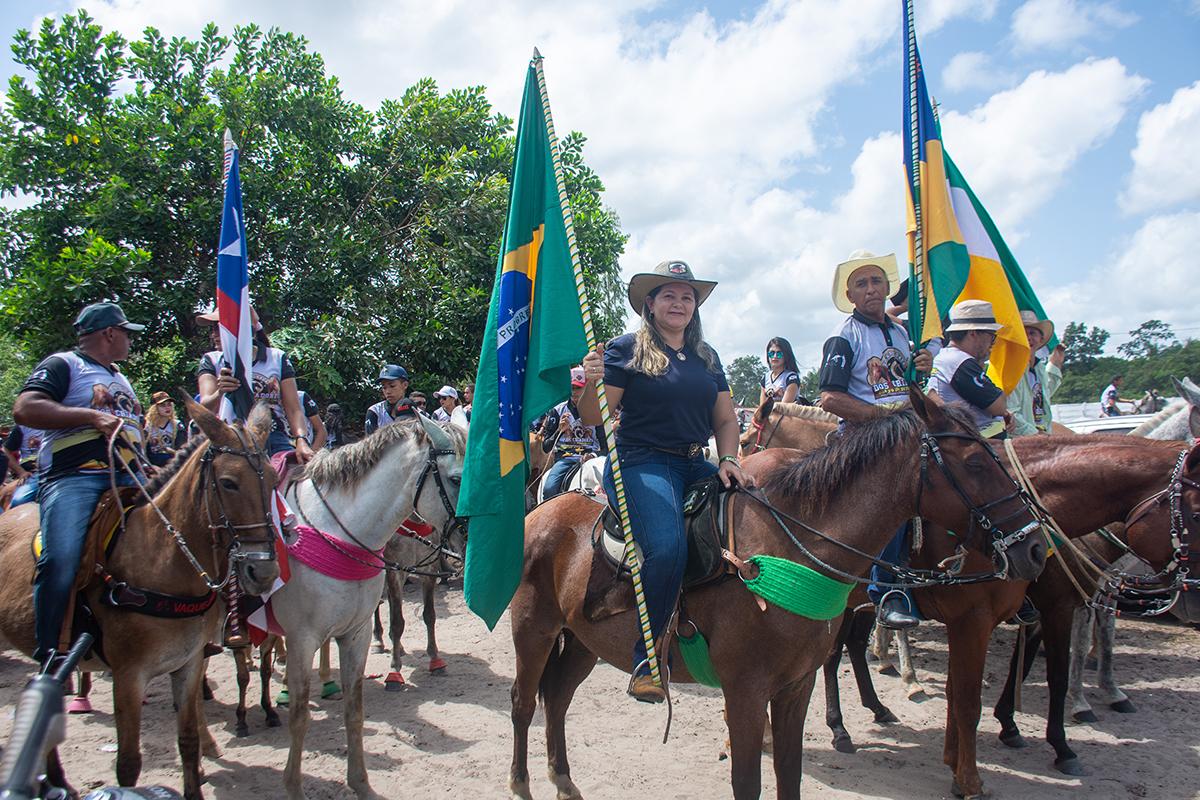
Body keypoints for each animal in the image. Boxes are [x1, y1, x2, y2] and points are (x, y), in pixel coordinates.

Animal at [0, 400, 278, 800]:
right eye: (228, 482)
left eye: (272, 480)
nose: (264, 571)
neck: (160, 561)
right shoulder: (128, 675)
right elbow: (129, 763)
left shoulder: (188, 661)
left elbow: (188, 739)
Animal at [271, 412, 463, 800]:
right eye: (456, 478)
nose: (469, 534)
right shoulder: (306, 634)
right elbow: (398, 621)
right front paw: (394, 671)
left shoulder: (424, 571)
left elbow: (428, 617)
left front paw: (434, 659)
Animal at [501, 393, 1046, 800]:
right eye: (975, 462)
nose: (1037, 548)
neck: (791, 547)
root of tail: (542, 511)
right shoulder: (745, 691)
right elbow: (749, 783)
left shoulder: (794, 687)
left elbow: (789, 775)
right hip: (534, 631)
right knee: (524, 702)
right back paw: (522, 785)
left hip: (582, 642)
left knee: (557, 698)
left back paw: (564, 781)